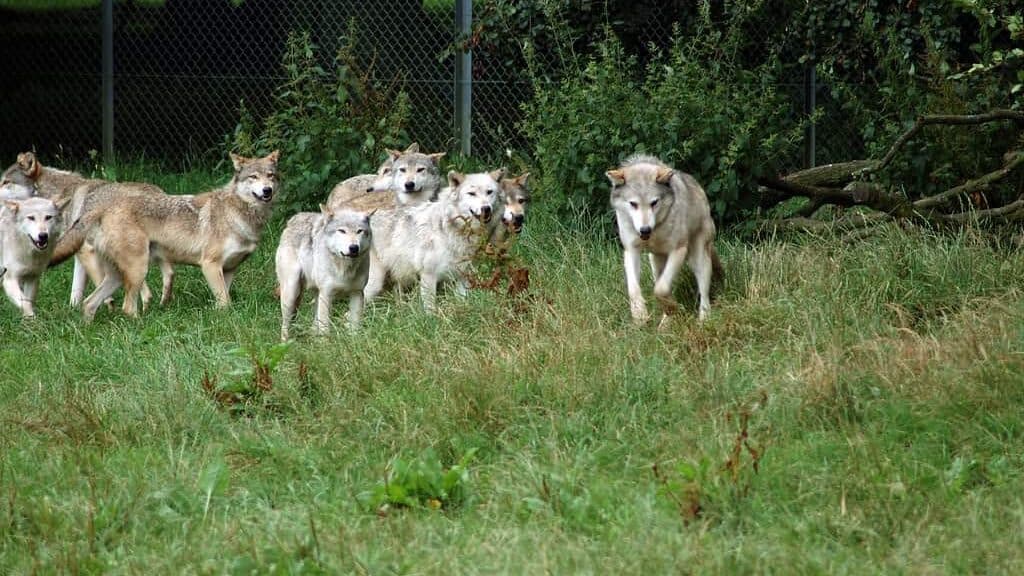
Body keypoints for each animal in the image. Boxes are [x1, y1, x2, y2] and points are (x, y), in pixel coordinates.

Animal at [50, 151, 280, 321]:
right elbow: (226, 303)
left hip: (116, 276)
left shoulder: (229, 269)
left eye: (270, 176)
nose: (267, 191)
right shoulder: (210, 265)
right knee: (127, 308)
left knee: (89, 304)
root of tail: (102, 207)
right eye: (254, 177)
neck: (240, 214)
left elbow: (223, 301)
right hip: (138, 270)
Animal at [276, 206, 373, 340]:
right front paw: (326, 344)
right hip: (291, 294)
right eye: (342, 231)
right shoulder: (327, 294)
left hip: (316, 295)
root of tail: (295, 218)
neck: (344, 270)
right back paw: (285, 342)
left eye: (360, 231)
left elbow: (355, 326)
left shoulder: (357, 293)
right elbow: (325, 328)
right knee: (285, 324)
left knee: (314, 322)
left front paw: (354, 341)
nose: (354, 247)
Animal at [363, 168, 505, 312]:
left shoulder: (463, 277)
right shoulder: (428, 275)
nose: (486, 208)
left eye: (489, 192)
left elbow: (462, 301)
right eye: (472, 193)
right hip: (374, 284)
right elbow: (430, 310)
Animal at [607, 154, 721, 327]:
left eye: (654, 202)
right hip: (655, 262)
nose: (645, 230)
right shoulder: (631, 251)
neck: (655, 231)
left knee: (704, 293)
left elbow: (660, 289)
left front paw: (672, 307)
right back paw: (665, 324)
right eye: (633, 204)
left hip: (698, 258)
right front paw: (640, 315)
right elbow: (634, 289)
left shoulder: (678, 250)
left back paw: (703, 319)